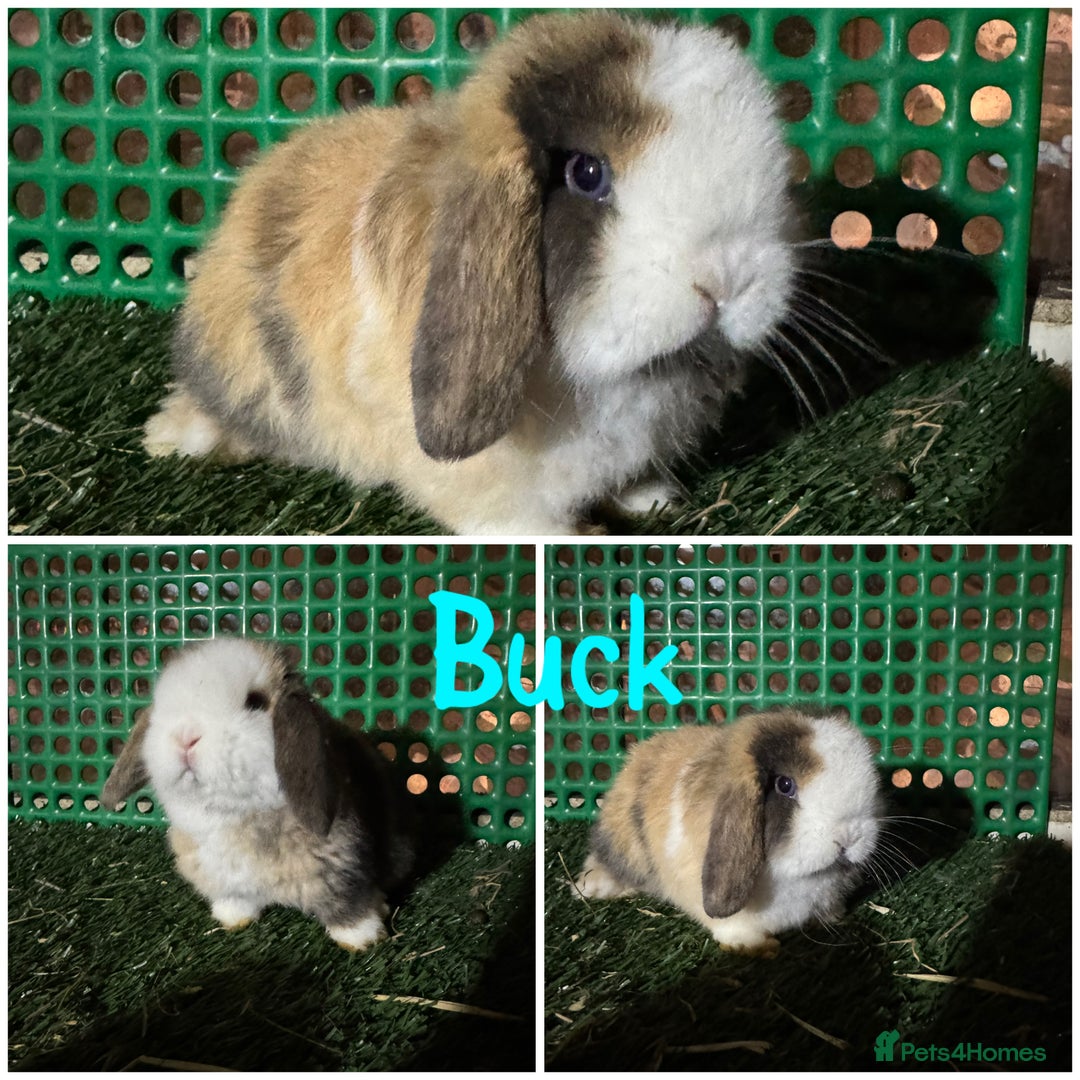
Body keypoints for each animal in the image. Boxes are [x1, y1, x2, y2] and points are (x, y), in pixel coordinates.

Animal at [101, 637, 416, 951]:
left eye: (255, 702)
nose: (185, 737)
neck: (235, 815)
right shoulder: (229, 883)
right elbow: (236, 901)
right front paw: (232, 919)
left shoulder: (342, 872)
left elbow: (347, 907)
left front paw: (363, 939)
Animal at [144, 11, 796, 534]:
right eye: (587, 174)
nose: (727, 280)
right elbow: (514, 519)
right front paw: (575, 538)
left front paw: (654, 498)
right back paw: (168, 441)